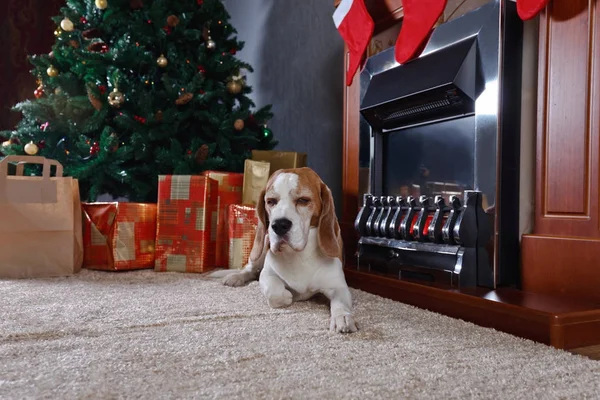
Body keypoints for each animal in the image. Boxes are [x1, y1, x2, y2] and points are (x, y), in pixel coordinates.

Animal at [211, 167, 358, 332]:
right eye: (271, 201)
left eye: (303, 200)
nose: (279, 225)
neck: (300, 256)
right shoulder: (267, 274)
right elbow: (274, 290)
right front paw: (287, 296)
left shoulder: (338, 286)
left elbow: (341, 303)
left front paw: (343, 317)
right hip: (262, 244)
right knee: (250, 270)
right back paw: (236, 277)